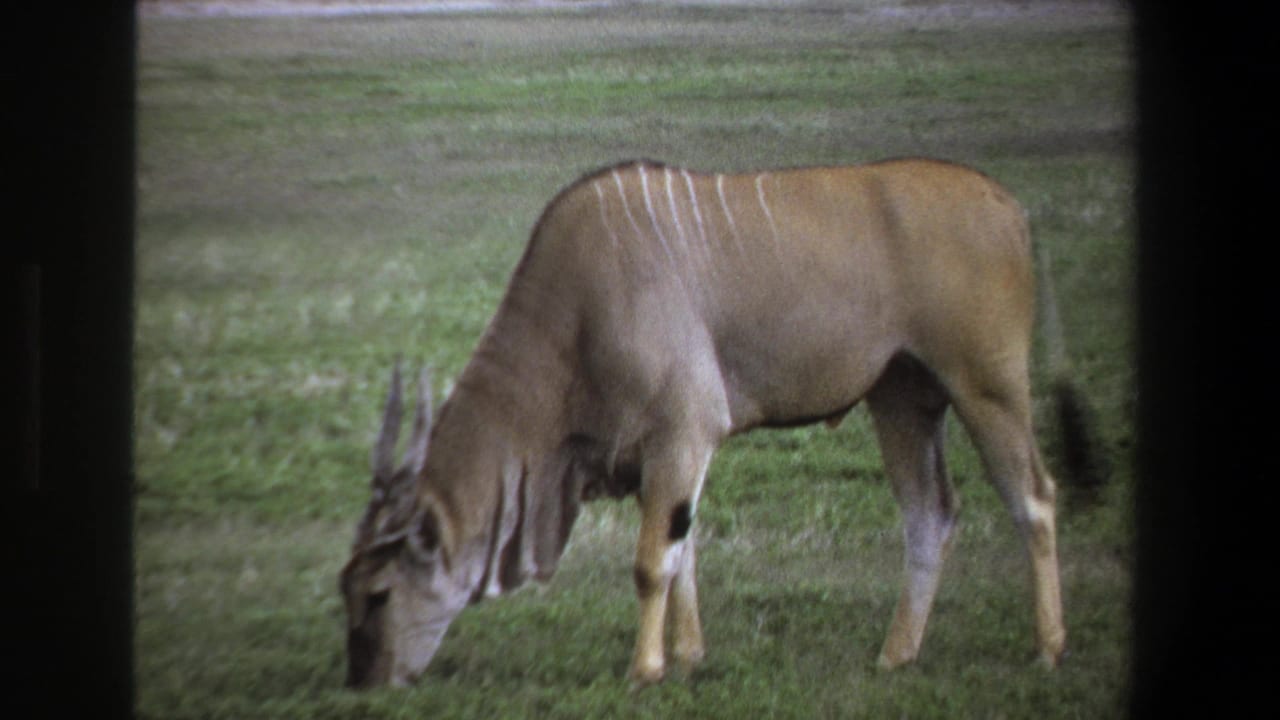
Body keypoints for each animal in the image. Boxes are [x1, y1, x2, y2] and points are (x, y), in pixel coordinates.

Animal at [339, 158, 1102, 688]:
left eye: (377, 595)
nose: (363, 683)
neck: (576, 308)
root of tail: (1010, 206)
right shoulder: (663, 455)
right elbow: (684, 552)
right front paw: (689, 656)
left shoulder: (683, 433)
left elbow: (653, 562)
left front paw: (645, 669)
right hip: (903, 401)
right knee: (930, 515)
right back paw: (896, 655)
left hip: (987, 387)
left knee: (1034, 499)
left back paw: (1049, 649)